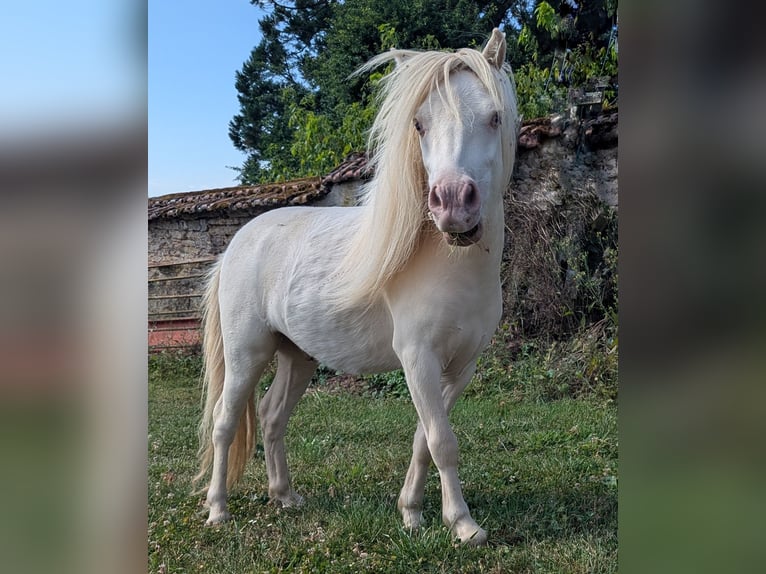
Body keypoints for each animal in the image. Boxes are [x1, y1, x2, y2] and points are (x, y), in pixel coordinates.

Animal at [194, 28, 518, 546]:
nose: (452, 204)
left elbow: (424, 438)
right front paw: (463, 524)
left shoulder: (459, 368)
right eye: (419, 125)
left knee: (271, 415)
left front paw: (412, 513)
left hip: (297, 356)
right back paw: (218, 509)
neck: (449, 266)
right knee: (225, 422)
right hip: (248, 353)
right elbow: (443, 441)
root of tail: (236, 245)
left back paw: (284, 496)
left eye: (494, 117)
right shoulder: (418, 358)